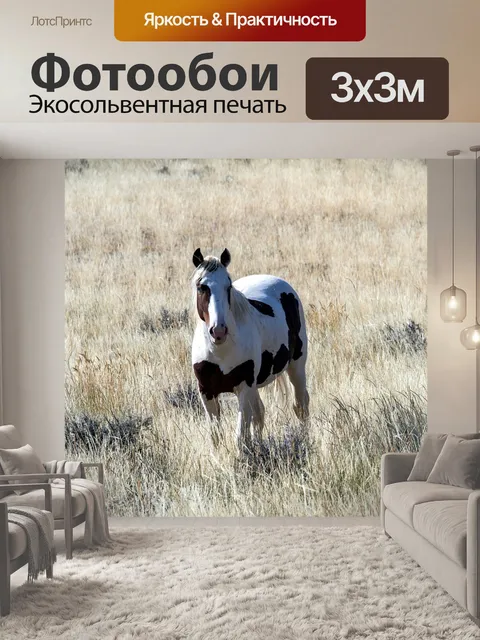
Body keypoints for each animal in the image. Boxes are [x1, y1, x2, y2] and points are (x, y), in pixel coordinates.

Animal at [191, 248, 309, 453]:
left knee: (301, 405)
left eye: (228, 286)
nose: (218, 331)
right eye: (201, 287)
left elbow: (240, 436)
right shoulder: (206, 391)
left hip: (296, 366)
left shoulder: (244, 387)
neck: (221, 351)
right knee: (260, 413)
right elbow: (216, 436)